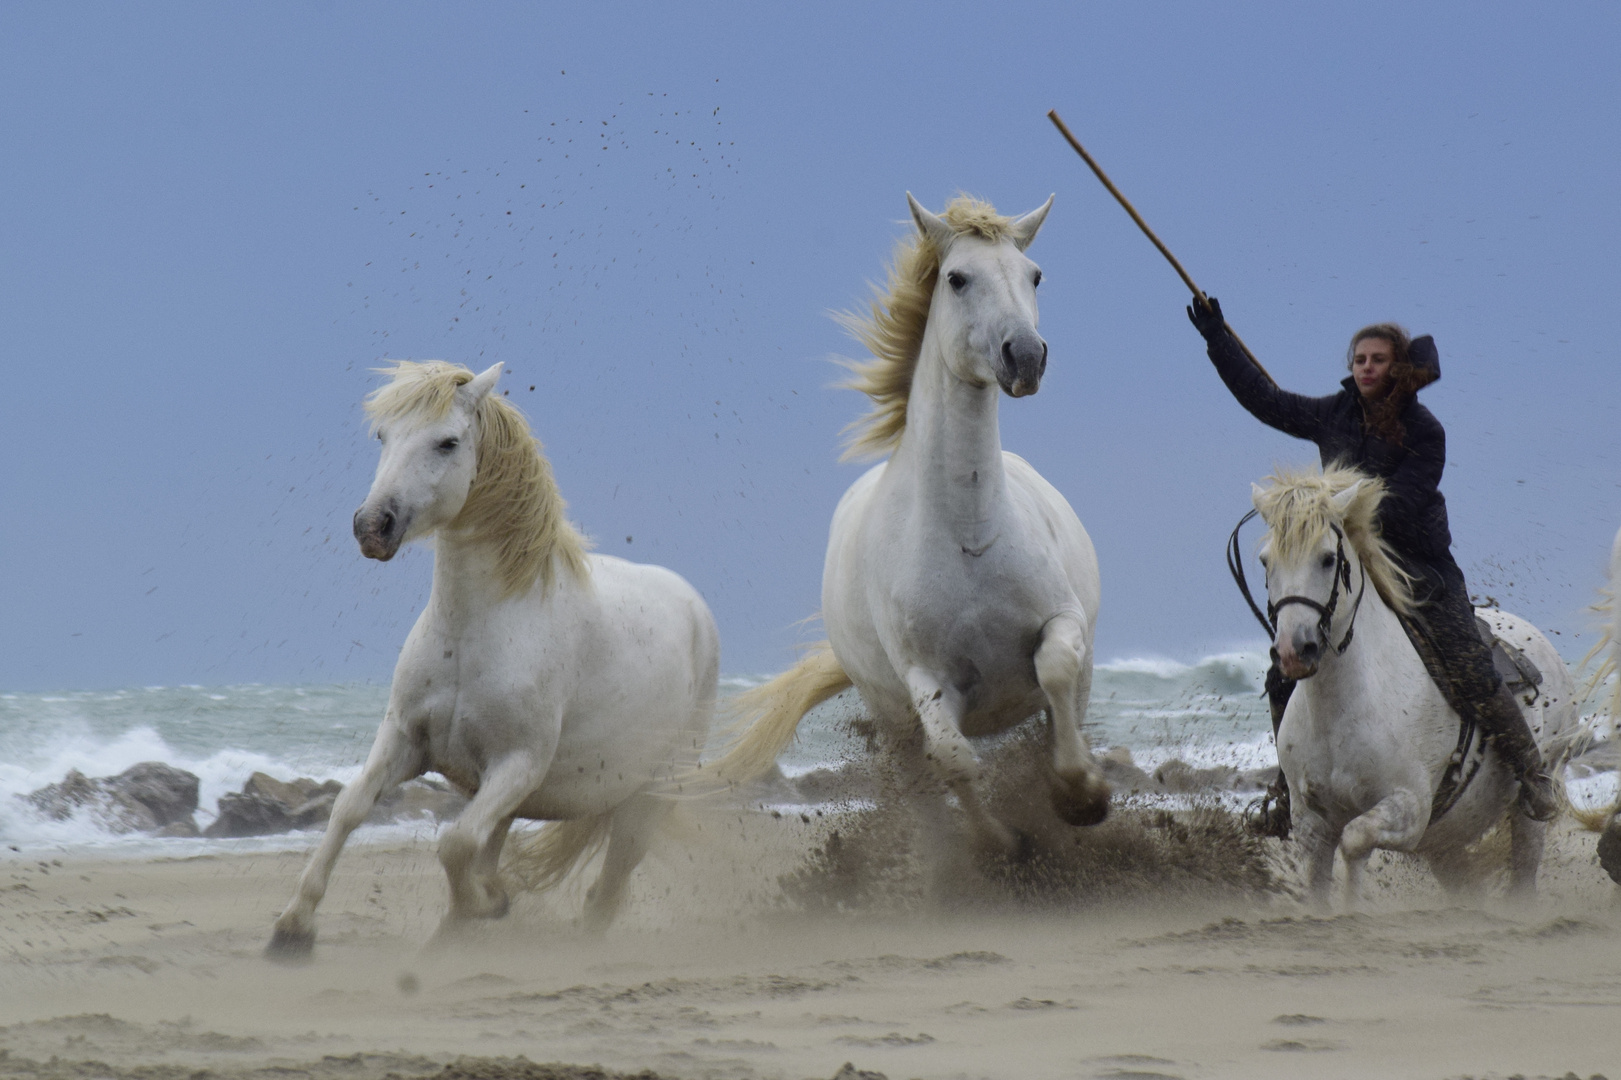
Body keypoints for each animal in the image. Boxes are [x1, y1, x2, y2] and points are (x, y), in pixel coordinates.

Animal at [270, 361, 716, 953]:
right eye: (383, 436)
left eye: (447, 442)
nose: (372, 527)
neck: (473, 631)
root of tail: (694, 606)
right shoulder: (408, 739)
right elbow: (351, 808)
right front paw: (293, 926)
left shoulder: (517, 763)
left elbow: (455, 844)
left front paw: (486, 904)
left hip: (644, 800)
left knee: (608, 889)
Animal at [716, 191, 1108, 849]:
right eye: (956, 278)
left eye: (1034, 275)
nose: (1026, 356)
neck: (970, 536)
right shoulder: (926, 678)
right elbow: (952, 760)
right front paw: (1005, 844)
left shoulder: (1063, 622)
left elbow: (1053, 671)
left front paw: (1082, 797)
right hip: (891, 719)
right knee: (922, 778)